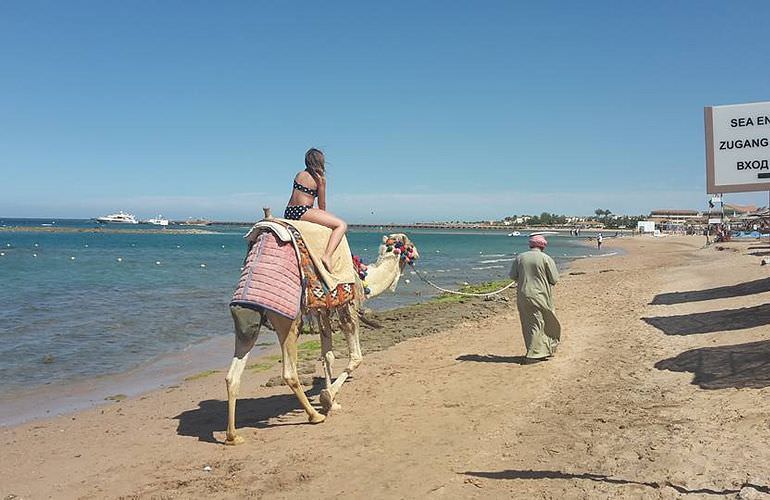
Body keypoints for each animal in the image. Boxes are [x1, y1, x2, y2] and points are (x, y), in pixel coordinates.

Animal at [224, 211, 414, 446]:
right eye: (409, 246)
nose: (417, 253)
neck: (363, 279)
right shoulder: (347, 308)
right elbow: (356, 357)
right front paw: (327, 398)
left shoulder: (324, 311)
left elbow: (328, 356)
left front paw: (332, 400)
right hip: (288, 321)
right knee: (289, 372)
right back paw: (314, 416)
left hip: (246, 318)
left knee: (232, 375)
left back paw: (233, 436)